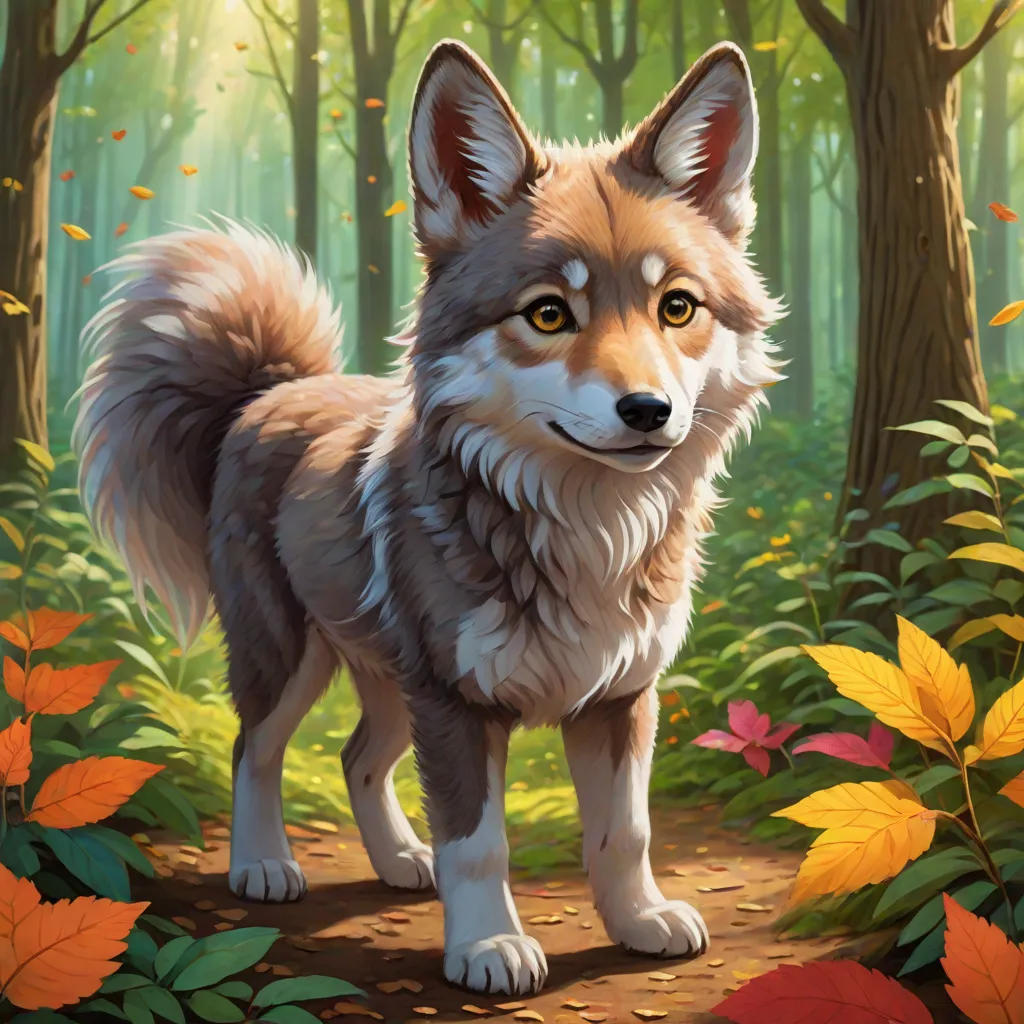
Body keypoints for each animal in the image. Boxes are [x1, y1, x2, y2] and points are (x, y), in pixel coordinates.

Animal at [74, 39, 781, 995]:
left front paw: (639, 921)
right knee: (254, 749)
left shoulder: (621, 696)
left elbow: (624, 832)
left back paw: (401, 859)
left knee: (355, 758)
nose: (647, 410)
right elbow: (479, 843)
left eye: (677, 306)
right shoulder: (456, 705)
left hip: (387, 677)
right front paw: (487, 947)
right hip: (292, 658)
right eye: (549, 313)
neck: (589, 530)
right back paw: (263, 865)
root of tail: (270, 392)